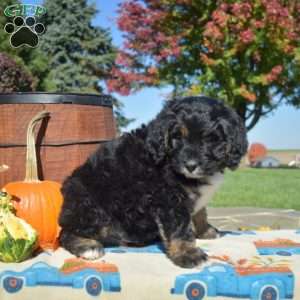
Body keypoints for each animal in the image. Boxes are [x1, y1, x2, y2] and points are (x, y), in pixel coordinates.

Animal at [59, 96, 248, 268]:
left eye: (210, 139)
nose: (190, 165)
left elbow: (200, 213)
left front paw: (206, 231)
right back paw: (87, 246)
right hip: (92, 205)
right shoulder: (170, 198)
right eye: (177, 137)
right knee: (65, 233)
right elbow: (180, 228)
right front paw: (188, 253)